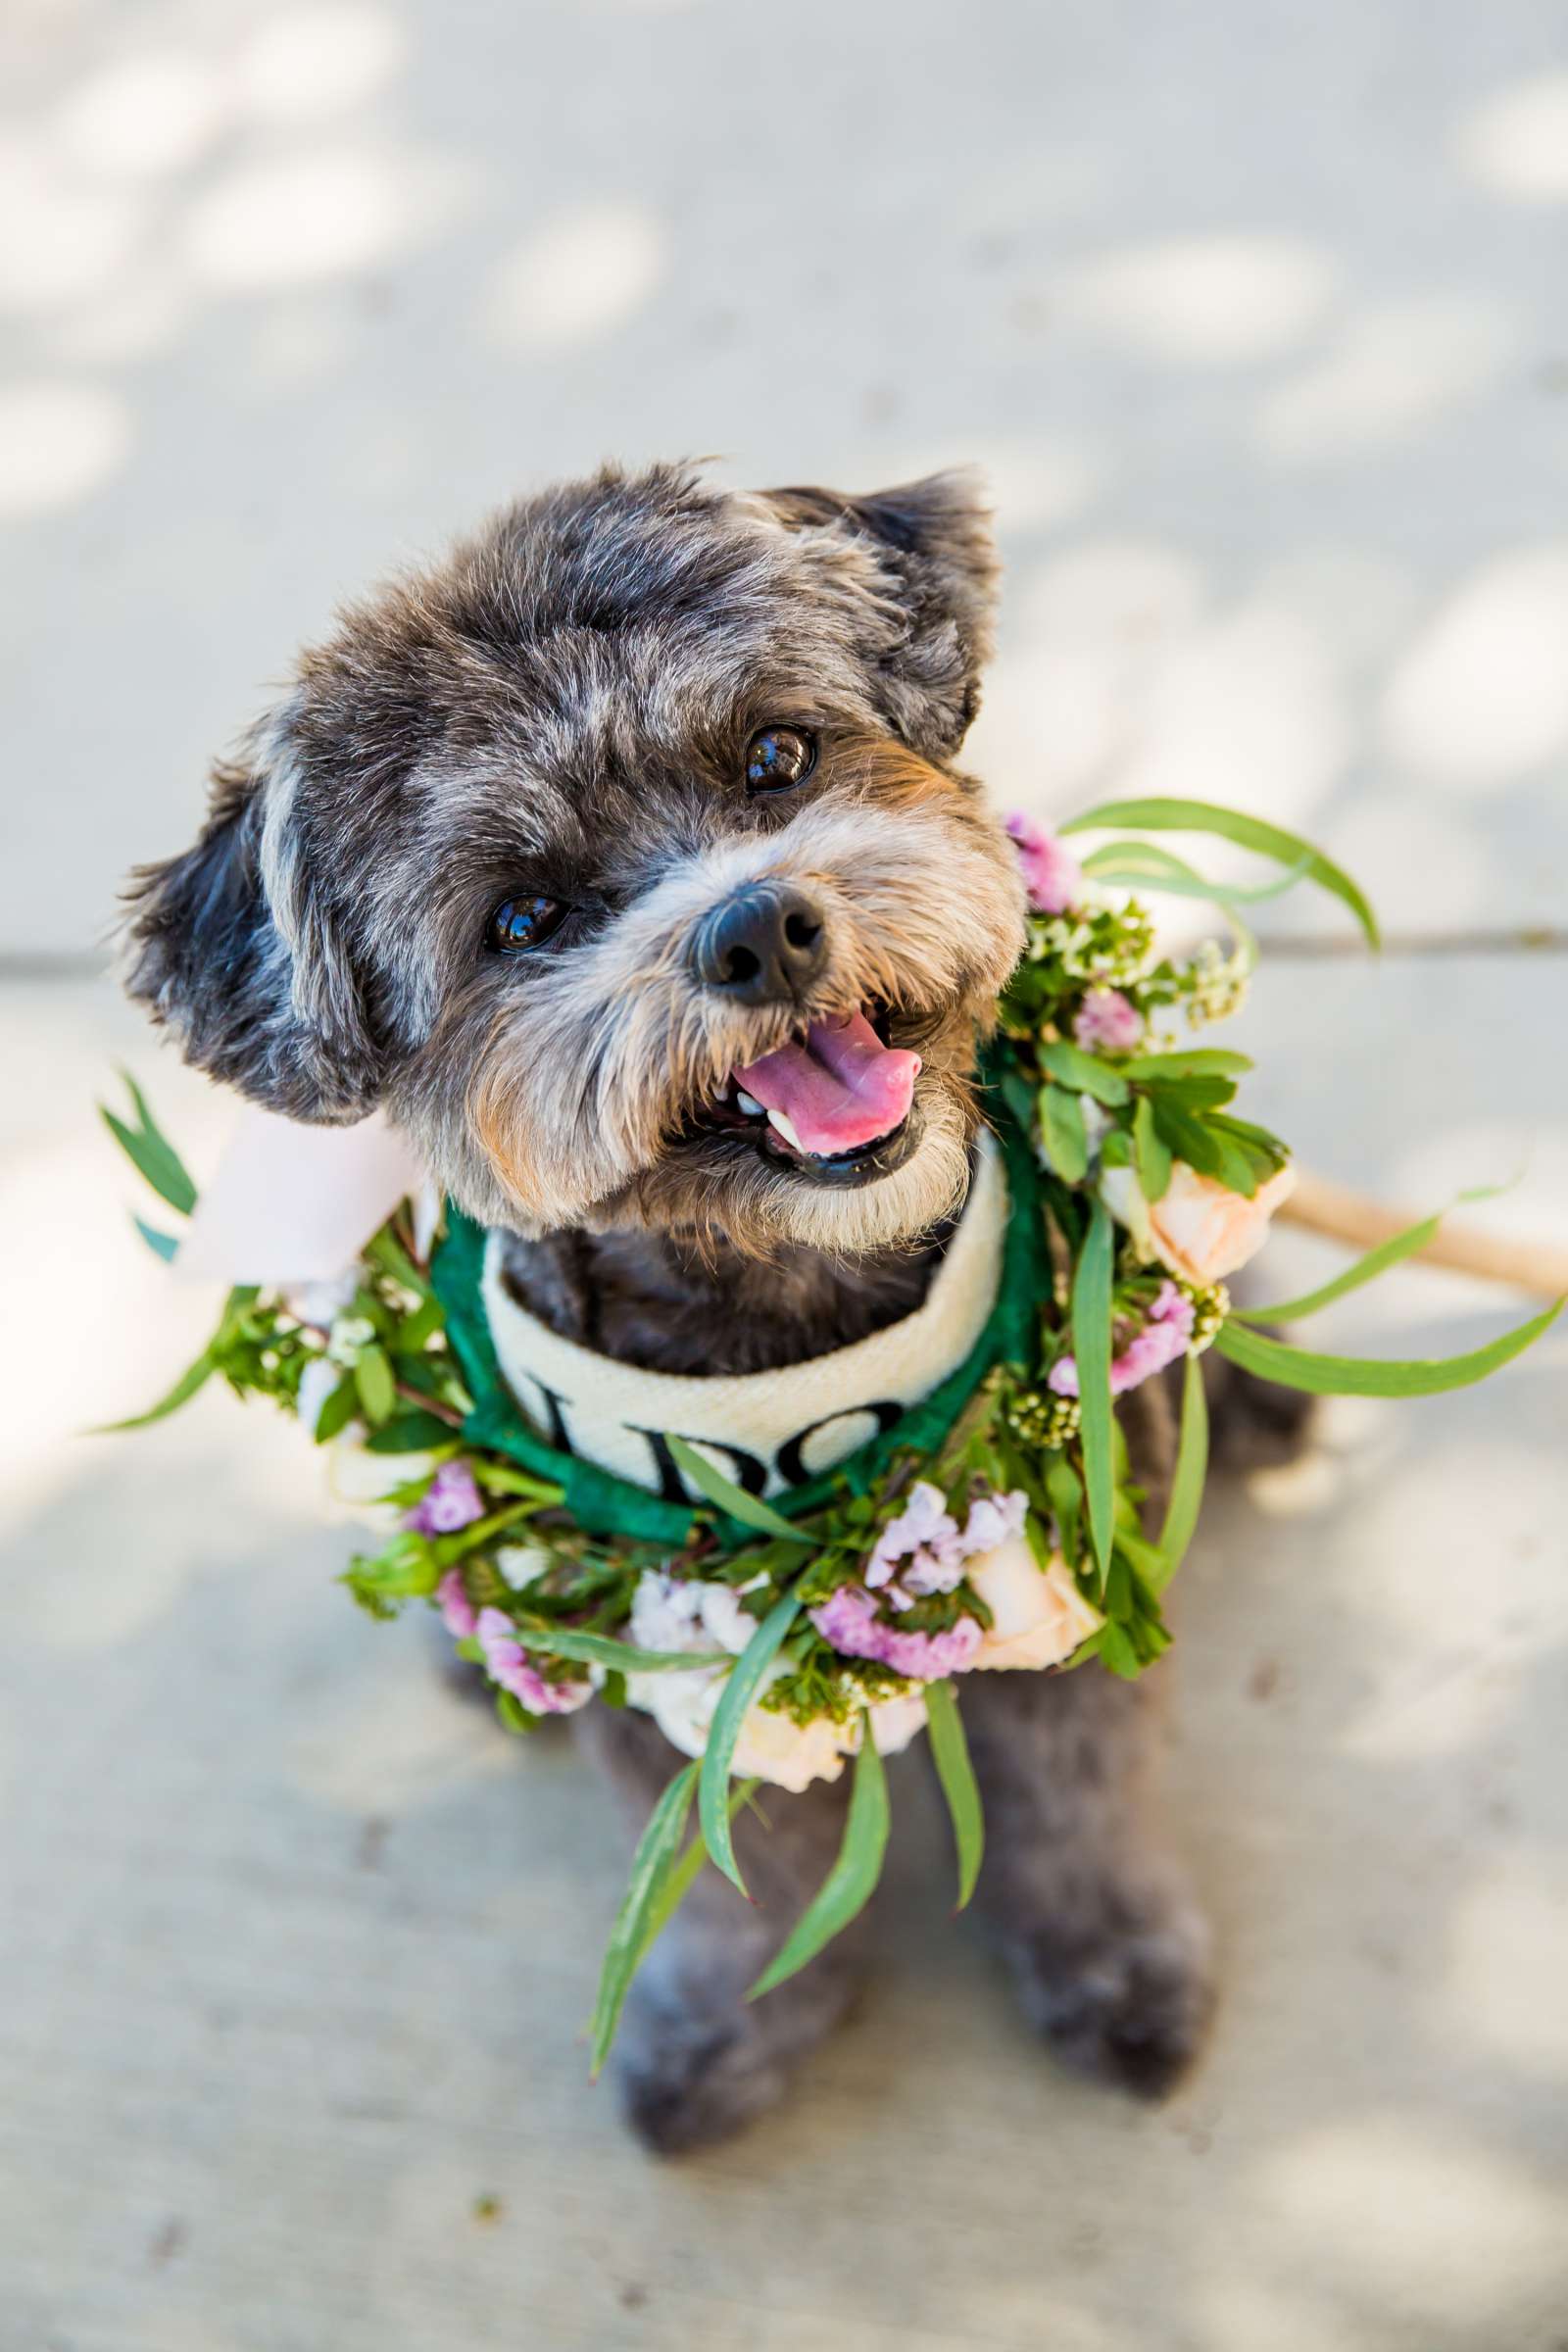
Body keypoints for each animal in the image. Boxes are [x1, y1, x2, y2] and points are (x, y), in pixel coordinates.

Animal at [125, 459, 1250, 2154]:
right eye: (523, 918)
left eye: (776, 755)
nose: (758, 927)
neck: (776, 1286)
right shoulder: (661, 1667)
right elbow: (728, 1881)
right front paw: (731, 2026)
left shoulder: (1073, 1556)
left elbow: (1081, 1804)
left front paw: (1113, 1964)